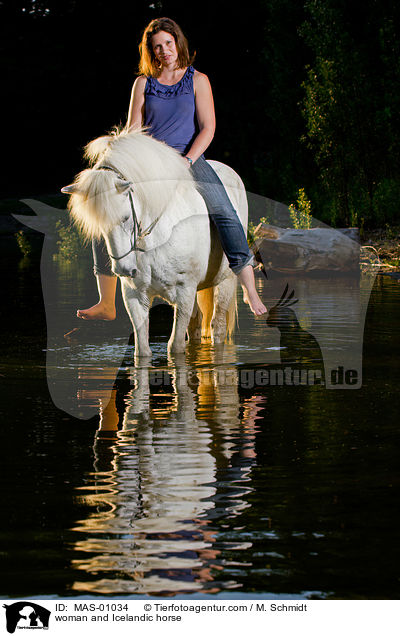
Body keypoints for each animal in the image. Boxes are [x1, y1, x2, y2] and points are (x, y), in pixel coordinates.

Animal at [61, 129, 248, 358]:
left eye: (125, 218)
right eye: (99, 228)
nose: (124, 270)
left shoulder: (185, 291)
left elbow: (175, 348)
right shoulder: (135, 296)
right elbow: (142, 350)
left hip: (226, 281)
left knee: (217, 326)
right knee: (196, 327)